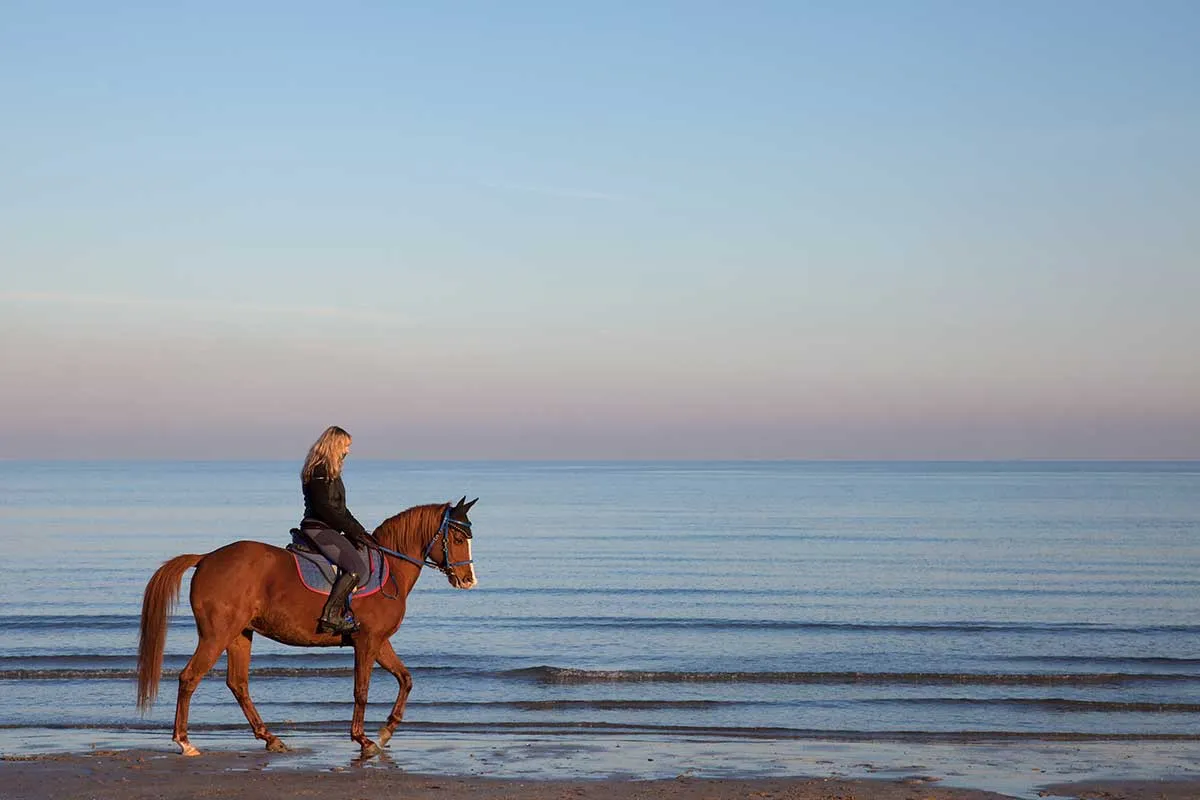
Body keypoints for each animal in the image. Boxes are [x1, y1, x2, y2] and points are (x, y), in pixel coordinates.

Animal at [136, 497, 478, 758]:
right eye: (458, 539)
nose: (468, 579)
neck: (390, 570)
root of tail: (206, 557)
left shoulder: (380, 642)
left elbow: (405, 679)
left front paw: (385, 732)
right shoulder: (367, 641)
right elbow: (361, 690)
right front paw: (364, 740)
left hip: (239, 635)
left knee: (238, 684)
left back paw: (270, 738)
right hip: (216, 635)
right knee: (190, 678)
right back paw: (185, 742)